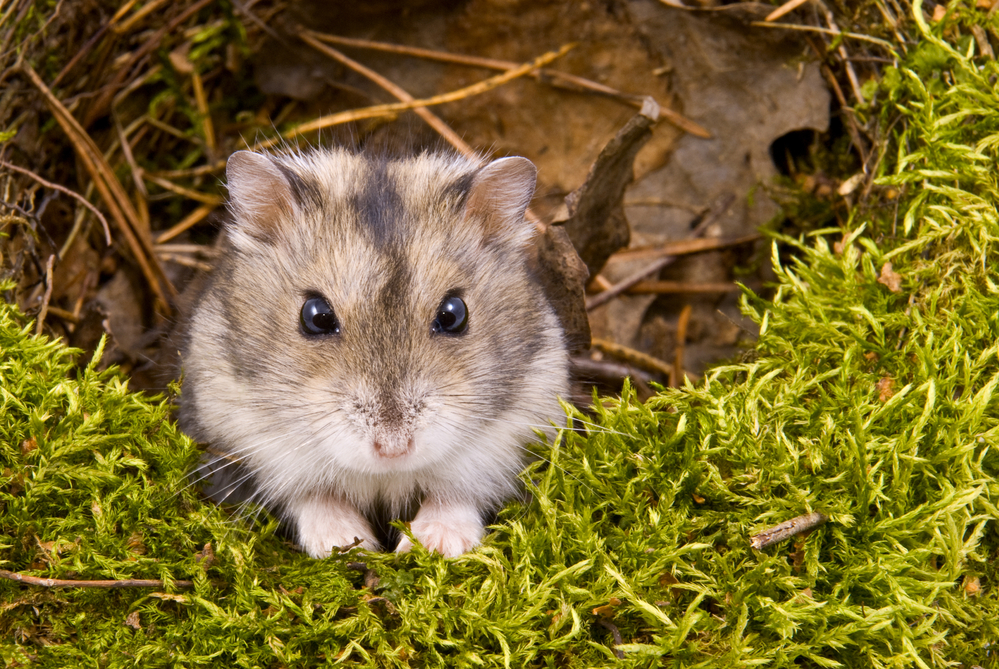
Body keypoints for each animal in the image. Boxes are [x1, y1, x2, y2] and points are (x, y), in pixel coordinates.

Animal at [180, 147, 572, 560]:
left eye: (454, 314)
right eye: (315, 316)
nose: (393, 449)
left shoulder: (514, 432)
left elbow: (456, 495)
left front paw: (432, 545)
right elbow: (312, 496)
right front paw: (347, 545)